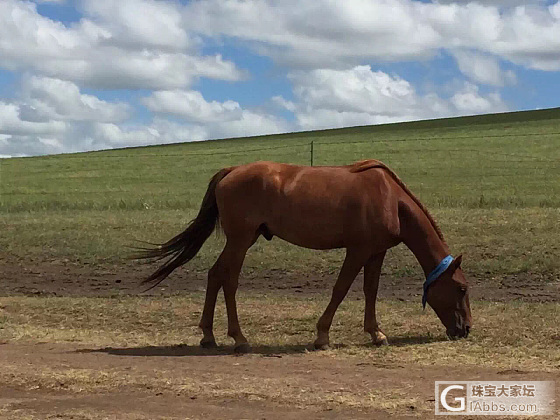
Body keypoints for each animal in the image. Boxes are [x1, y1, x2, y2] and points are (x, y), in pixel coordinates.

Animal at [137, 159, 472, 352]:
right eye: (461, 288)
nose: (466, 329)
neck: (391, 198)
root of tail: (230, 172)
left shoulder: (376, 252)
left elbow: (371, 291)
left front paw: (376, 333)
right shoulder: (358, 250)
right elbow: (341, 289)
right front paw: (322, 336)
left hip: (242, 240)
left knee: (215, 275)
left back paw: (209, 336)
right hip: (240, 240)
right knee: (228, 280)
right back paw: (239, 338)